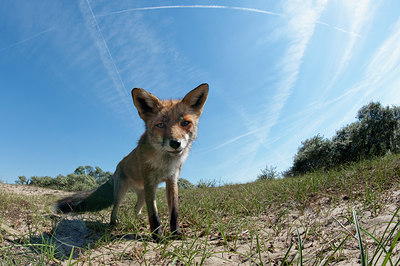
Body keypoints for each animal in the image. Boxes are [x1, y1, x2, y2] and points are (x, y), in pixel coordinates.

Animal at [54, 83, 209, 241]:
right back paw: (113, 224)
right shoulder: (150, 182)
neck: (164, 164)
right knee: (115, 209)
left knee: (136, 209)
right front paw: (157, 237)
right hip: (122, 193)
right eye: (160, 125)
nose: (175, 143)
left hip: (142, 195)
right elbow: (154, 214)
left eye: (185, 123)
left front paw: (176, 233)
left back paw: (138, 221)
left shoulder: (172, 181)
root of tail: (118, 166)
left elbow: (174, 213)